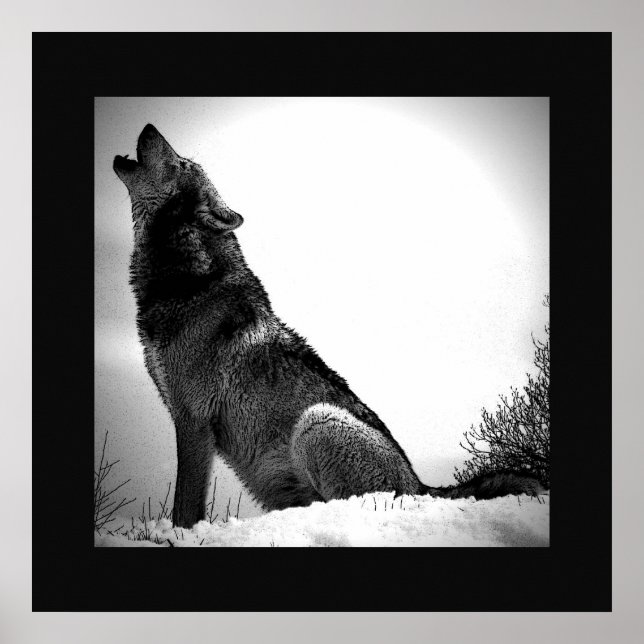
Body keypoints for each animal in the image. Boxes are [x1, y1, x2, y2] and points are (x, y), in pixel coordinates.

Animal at [114, 124, 544, 528]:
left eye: (181, 163)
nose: (150, 127)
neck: (189, 280)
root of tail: (421, 487)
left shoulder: (193, 420)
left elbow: (184, 508)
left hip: (316, 420)